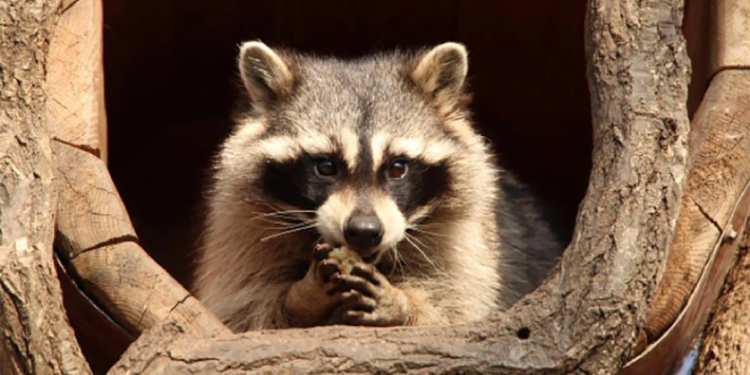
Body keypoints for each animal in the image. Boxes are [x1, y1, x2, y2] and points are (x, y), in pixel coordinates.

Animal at [194, 41, 564, 332]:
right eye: (325, 167)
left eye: (397, 168)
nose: (363, 231)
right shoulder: (242, 230)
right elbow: (245, 311)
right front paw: (301, 297)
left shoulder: (471, 243)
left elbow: (457, 310)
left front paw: (402, 304)